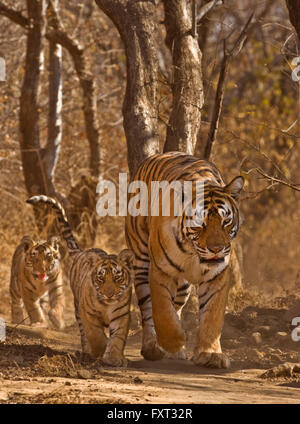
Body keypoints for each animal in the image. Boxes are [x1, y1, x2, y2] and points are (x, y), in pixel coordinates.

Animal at [26, 197, 134, 366]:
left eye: (117, 277)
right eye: (101, 278)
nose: (109, 295)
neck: (106, 305)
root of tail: (82, 252)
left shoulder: (121, 315)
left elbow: (118, 337)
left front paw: (115, 359)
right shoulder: (87, 314)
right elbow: (95, 335)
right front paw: (100, 349)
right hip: (77, 309)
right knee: (84, 335)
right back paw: (87, 353)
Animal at [124, 152, 244, 368]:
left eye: (226, 221)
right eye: (200, 223)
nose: (216, 249)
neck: (193, 254)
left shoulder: (217, 276)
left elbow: (212, 317)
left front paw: (211, 354)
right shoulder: (161, 271)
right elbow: (162, 311)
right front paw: (175, 341)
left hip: (183, 286)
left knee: (177, 306)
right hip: (141, 260)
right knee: (147, 308)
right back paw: (153, 348)